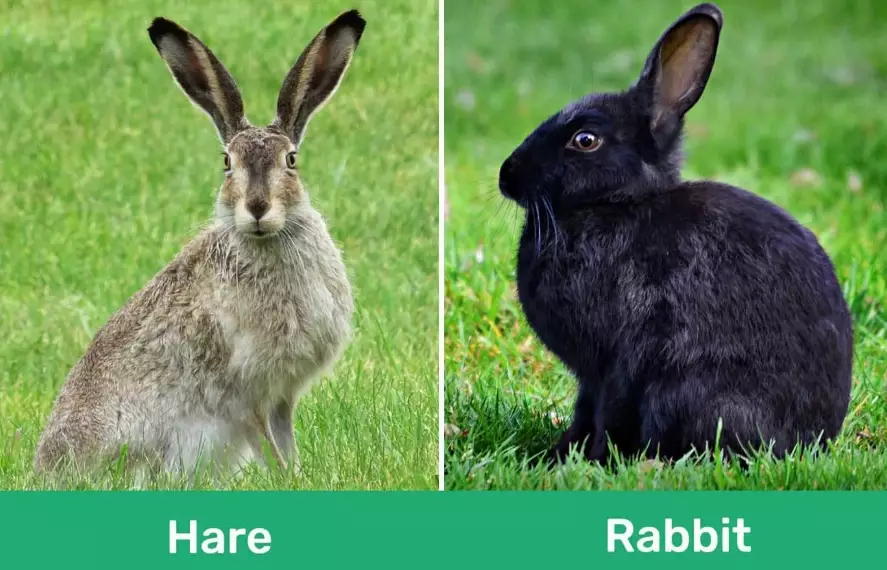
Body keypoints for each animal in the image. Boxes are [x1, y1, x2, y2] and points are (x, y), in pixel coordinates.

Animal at [34, 10, 365, 477]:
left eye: (291, 161)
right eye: (228, 163)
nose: (257, 208)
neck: (267, 240)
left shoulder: (281, 395)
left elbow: (286, 443)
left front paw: (301, 477)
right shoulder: (246, 394)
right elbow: (268, 446)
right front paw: (287, 479)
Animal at [498, 3, 853, 465]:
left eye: (585, 139)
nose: (507, 175)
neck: (616, 203)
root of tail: (813, 440)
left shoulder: (616, 361)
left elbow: (606, 411)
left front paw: (591, 461)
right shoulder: (592, 378)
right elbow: (584, 410)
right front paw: (558, 455)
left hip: (685, 391)